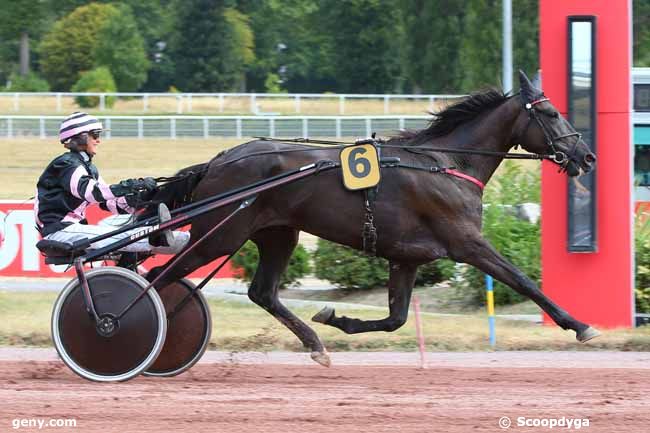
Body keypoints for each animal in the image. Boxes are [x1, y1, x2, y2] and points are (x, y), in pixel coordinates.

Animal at [146, 71, 596, 368]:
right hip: (219, 235)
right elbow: (522, 280)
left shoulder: (407, 258)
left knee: (262, 292)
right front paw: (578, 324)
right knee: (157, 278)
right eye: (551, 113)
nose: (586, 156)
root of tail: (217, 161)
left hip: (278, 234)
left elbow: (396, 319)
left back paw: (316, 344)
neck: (447, 163)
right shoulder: (467, 242)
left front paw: (336, 318)